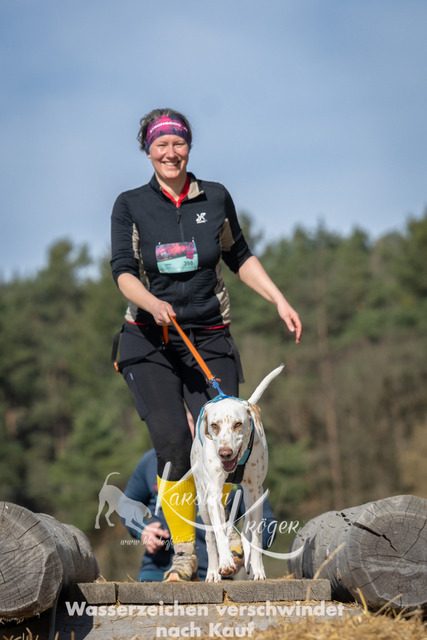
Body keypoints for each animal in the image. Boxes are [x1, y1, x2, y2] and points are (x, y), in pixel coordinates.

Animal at [190, 365, 284, 582]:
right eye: (214, 426)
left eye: (238, 424)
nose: (224, 453)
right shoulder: (214, 494)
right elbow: (219, 533)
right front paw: (225, 563)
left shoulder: (255, 492)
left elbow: (255, 536)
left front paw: (257, 568)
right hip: (204, 500)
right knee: (210, 537)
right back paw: (213, 571)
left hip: (247, 496)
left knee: (247, 529)